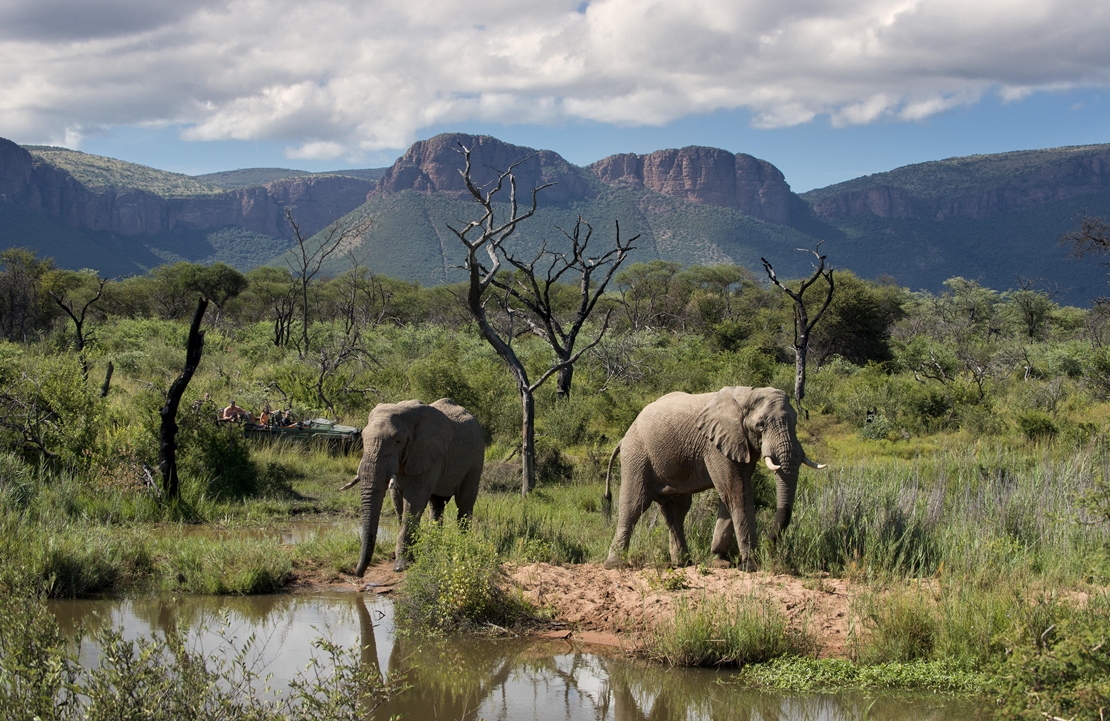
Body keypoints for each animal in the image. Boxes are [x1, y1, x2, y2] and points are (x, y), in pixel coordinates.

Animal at [350, 394, 481, 576]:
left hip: (475, 457)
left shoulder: (429, 452)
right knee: (437, 505)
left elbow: (414, 500)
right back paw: (433, 549)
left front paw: (401, 566)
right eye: (362, 438)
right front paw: (412, 557)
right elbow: (397, 502)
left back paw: (463, 546)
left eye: (398, 441)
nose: (359, 573)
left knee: (464, 502)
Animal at [599, 383, 825, 567]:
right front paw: (751, 565)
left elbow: (730, 495)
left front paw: (720, 561)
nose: (768, 543)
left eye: (795, 422)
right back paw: (614, 564)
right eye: (760, 425)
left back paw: (683, 563)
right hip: (637, 456)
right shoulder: (715, 445)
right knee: (634, 504)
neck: (746, 394)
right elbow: (737, 493)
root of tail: (624, 438)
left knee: (677, 510)